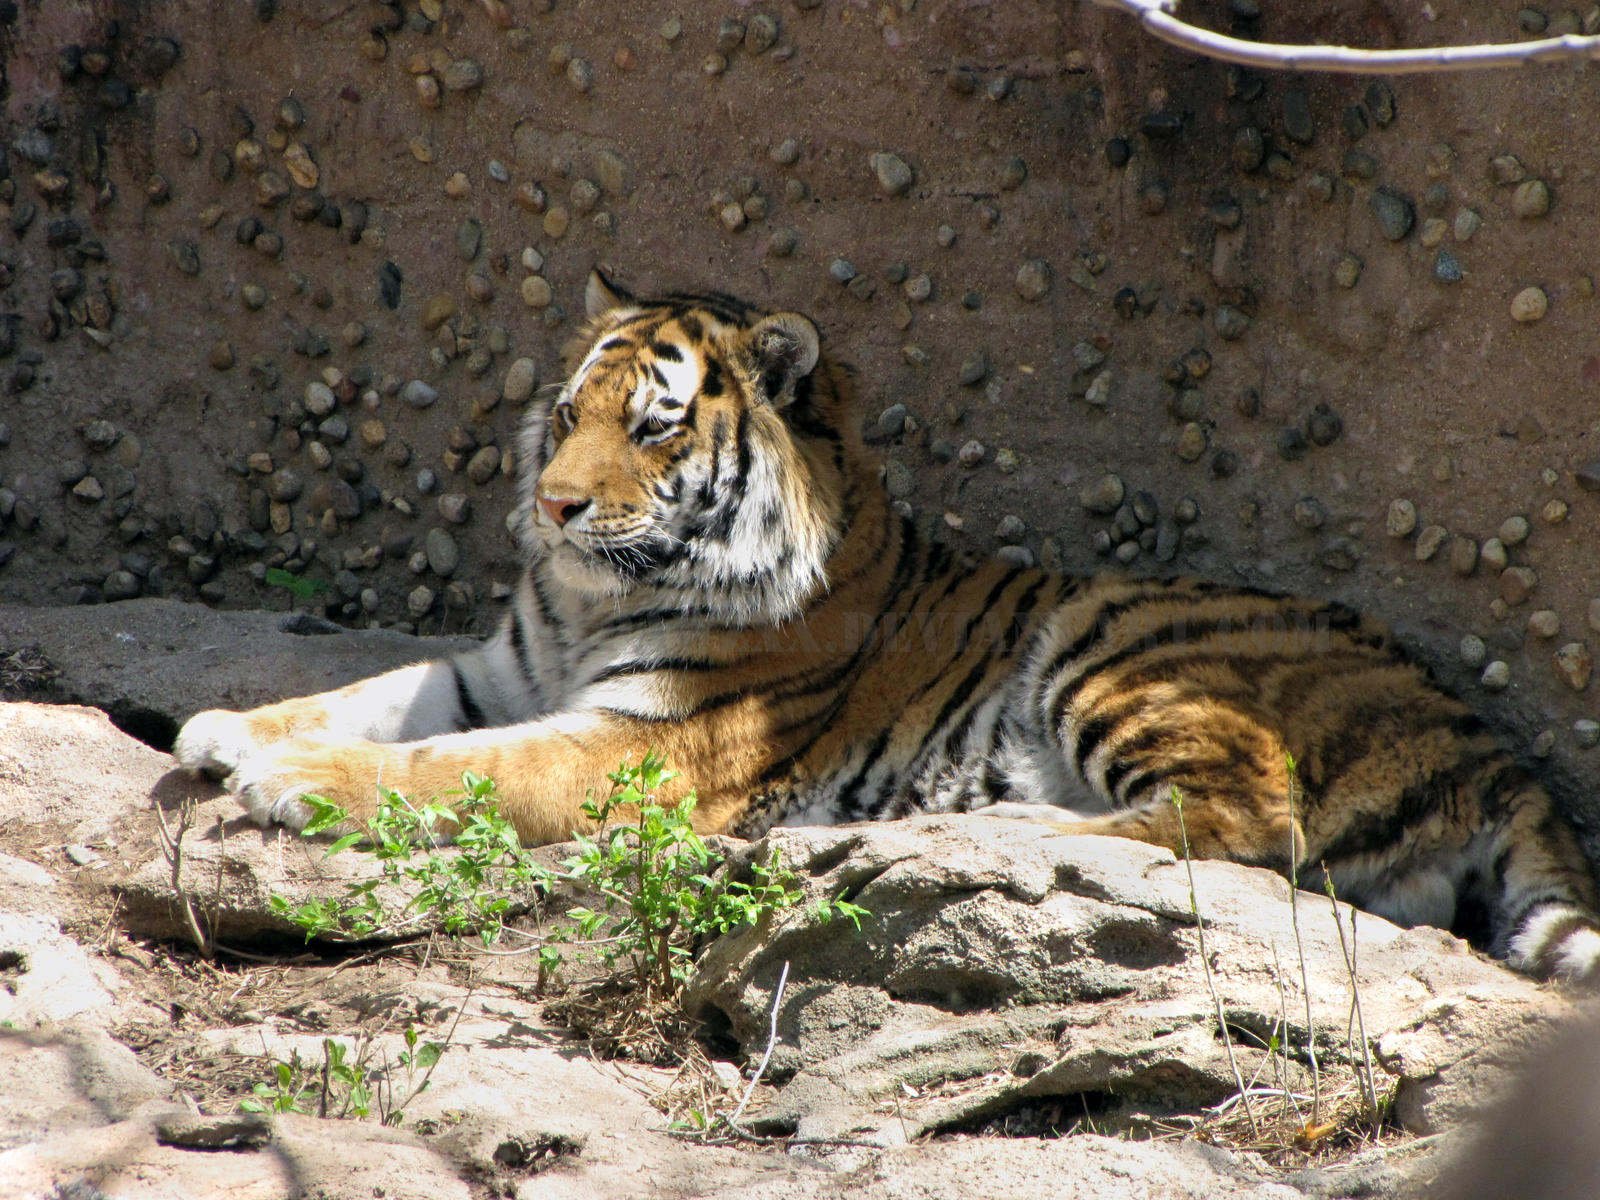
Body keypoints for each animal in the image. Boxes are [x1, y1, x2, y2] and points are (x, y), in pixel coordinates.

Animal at [175, 275, 1600, 985]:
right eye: (569, 412)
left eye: (654, 426)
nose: (552, 504)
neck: (596, 593)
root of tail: (1493, 746)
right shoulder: (501, 668)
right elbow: (384, 696)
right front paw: (228, 728)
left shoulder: (646, 744)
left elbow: (447, 768)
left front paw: (293, 781)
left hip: (1120, 641)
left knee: (1252, 823)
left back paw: (999, 833)